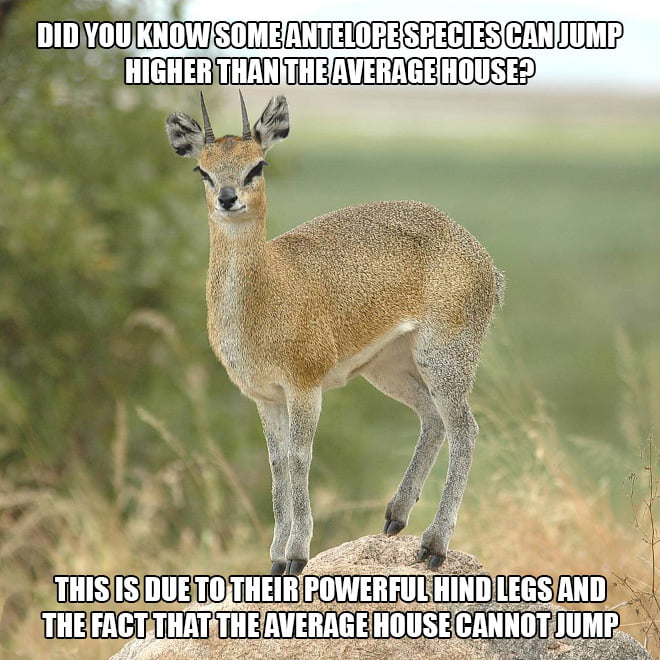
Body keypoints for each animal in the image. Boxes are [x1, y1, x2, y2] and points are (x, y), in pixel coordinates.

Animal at [165, 92, 504, 576]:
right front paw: (275, 556)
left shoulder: (305, 387)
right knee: (434, 419)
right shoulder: (265, 396)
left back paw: (434, 545)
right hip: (389, 368)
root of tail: (482, 257)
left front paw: (297, 554)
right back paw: (395, 516)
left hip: (445, 358)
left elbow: (300, 458)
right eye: (202, 169)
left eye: (257, 165)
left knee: (465, 429)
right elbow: (277, 466)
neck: (268, 289)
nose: (228, 199)